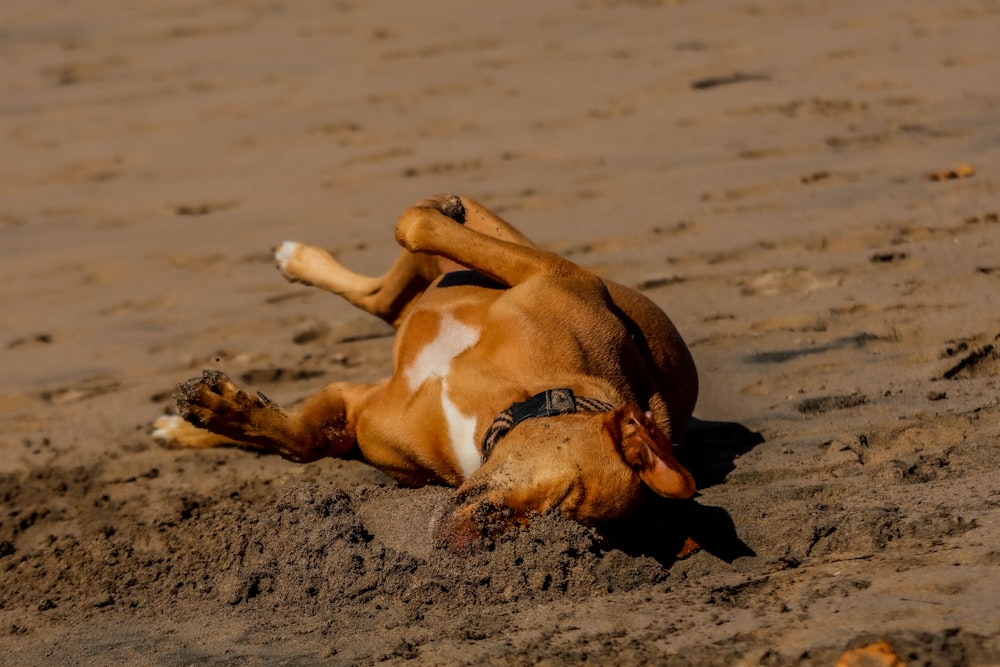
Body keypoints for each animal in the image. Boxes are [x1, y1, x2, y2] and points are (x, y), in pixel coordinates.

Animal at [152, 196, 700, 552]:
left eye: (574, 531)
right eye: (568, 494)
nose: (466, 546)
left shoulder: (355, 412)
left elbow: (300, 441)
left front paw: (216, 409)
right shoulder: (553, 275)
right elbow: (416, 224)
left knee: (382, 298)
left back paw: (179, 429)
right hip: (503, 255)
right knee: (398, 277)